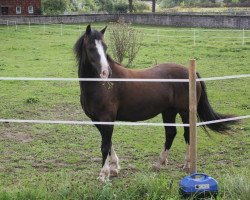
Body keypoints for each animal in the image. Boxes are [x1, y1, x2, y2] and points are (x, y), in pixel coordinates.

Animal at [73, 24, 235, 182]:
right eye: (91, 48)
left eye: (105, 47)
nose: (106, 73)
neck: (100, 85)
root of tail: (192, 73)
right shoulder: (96, 119)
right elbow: (109, 143)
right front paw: (114, 168)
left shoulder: (107, 119)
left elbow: (105, 146)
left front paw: (104, 174)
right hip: (168, 111)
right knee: (171, 133)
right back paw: (159, 163)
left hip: (184, 112)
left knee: (187, 134)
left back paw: (187, 164)